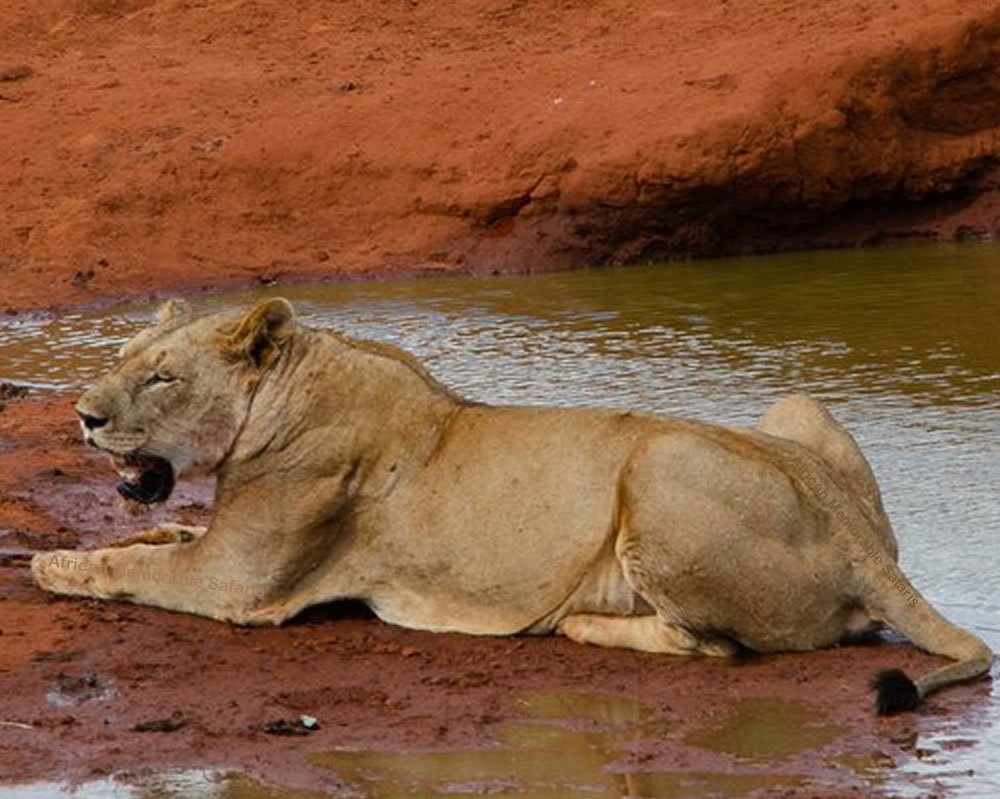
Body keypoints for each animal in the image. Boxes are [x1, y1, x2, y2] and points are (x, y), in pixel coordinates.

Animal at [31, 296, 992, 716]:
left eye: (162, 377)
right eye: (123, 355)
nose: (83, 413)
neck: (289, 386)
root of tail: (858, 539)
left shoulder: (238, 583)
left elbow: (132, 560)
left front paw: (49, 562)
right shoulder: (223, 543)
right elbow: (167, 531)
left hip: (658, 463)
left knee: (711, 645)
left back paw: (580, 621)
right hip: (793, 411)